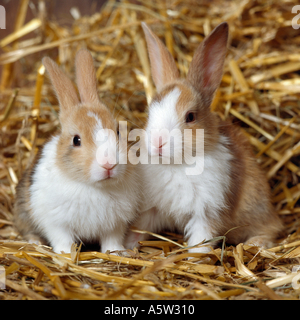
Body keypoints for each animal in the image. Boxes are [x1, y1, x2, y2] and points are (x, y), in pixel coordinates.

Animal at [13, 49, 142, 255]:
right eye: (76, 140)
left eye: (118, 131)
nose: (108, 164)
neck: (95, 187)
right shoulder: (56, 224)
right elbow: (63, 240)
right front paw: (66, 255)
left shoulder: (115, 225)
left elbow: (111, 241)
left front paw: (116, 252)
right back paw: (35, 243)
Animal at [125, 21, 284, 252]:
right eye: (149, 112)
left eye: (190, 116)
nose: (157, 143)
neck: (177, 164)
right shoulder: (151, 209)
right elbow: (139, 229)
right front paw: (126, 247)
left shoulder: (206, 213)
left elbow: (200, 240)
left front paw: (195, 256)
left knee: (272, 228)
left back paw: (255, 243)